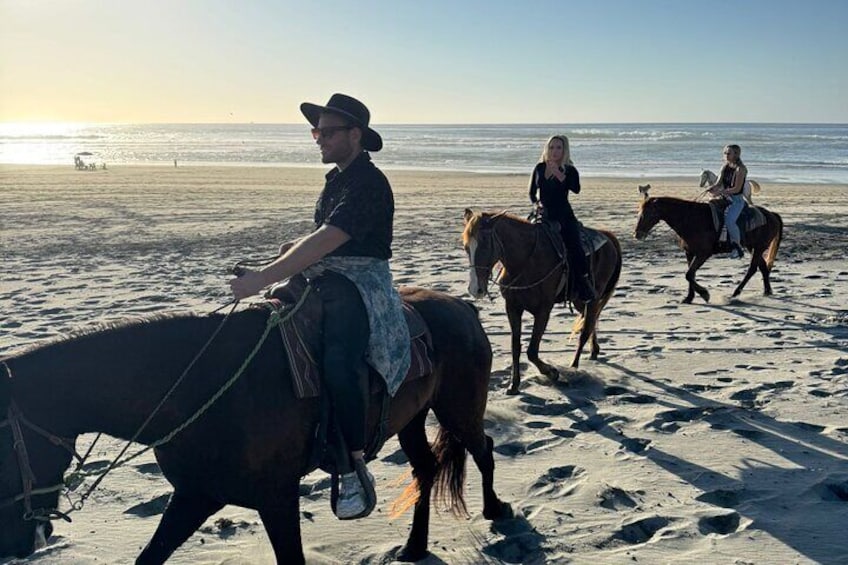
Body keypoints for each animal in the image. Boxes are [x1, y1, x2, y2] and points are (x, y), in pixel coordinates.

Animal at [0, 286, 506, 564]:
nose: (13, 544)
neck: (199, 388)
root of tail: (463, 307)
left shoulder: (276, 498)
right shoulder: (196, 495)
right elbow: (150, 556)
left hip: (459, 410)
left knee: (483, 447)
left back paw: (495, 510)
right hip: (414, 418)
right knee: (426, 468)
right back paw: (415, 546)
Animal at [460, 207, 620, 392]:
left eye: (485, 244)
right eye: (466, 247)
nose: (475, 289)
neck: (525, 261)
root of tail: (607, 236)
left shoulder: (543, 310)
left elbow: (532, 351)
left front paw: (552, 372)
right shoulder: (513, 307)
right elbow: (516, 346)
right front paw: (514, 384)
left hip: (593, 297)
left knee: (585, 330)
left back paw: (574, 366)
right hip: (580, 300)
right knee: (590, 320)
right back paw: (594, 351)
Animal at [632, 185, 784, 302]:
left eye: (648, 213)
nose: (637, 234)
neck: (691, 218)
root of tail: (772, 215)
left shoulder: (703, 254)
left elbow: (689, 274)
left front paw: (705, 294)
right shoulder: (689, 252)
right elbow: (690, 274)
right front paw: (689, 297)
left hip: (759, 247)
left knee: (752, 268)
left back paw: (736, 292)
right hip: (753, 247)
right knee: (762, 267)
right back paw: (767, 291)